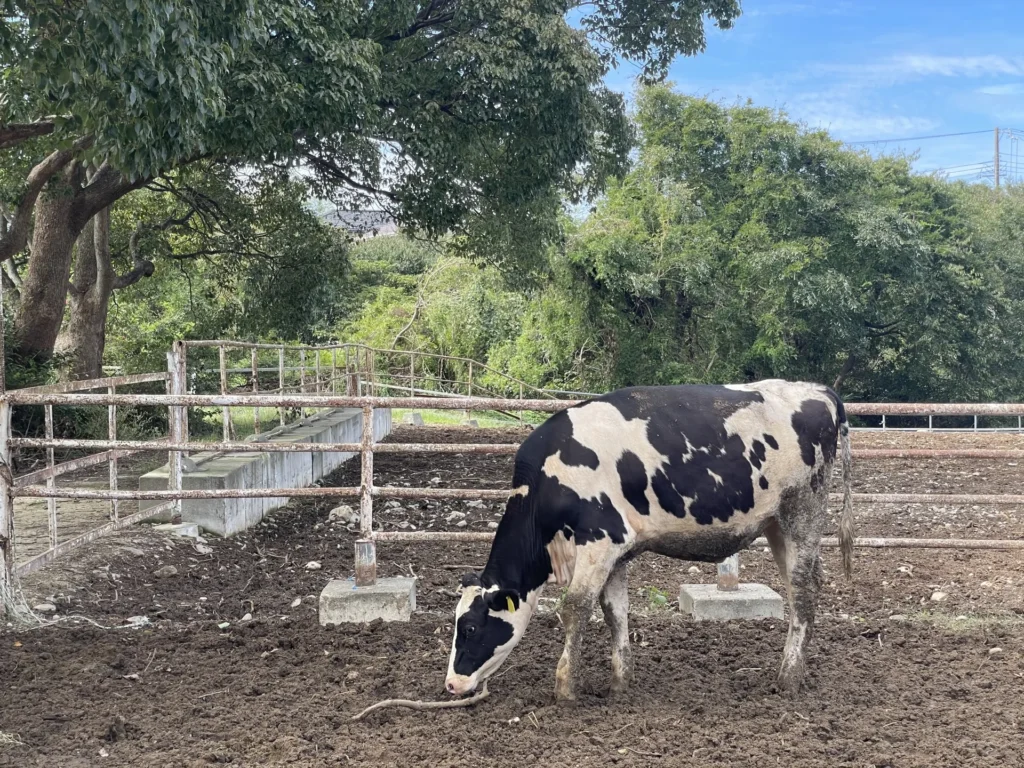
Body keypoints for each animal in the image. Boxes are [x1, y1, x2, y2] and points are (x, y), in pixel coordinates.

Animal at [444, 378, 851, 704]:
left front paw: (565, 688)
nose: (451, 684)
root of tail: (817, 390)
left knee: (802, 591)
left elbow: (575, 607)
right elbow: (615, 611)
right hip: (776, 525)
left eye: (470, 627)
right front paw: (620, 683)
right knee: (803, 586)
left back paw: (789, 678)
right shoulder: (616, 550)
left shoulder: (598, 541)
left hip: (803, 512)